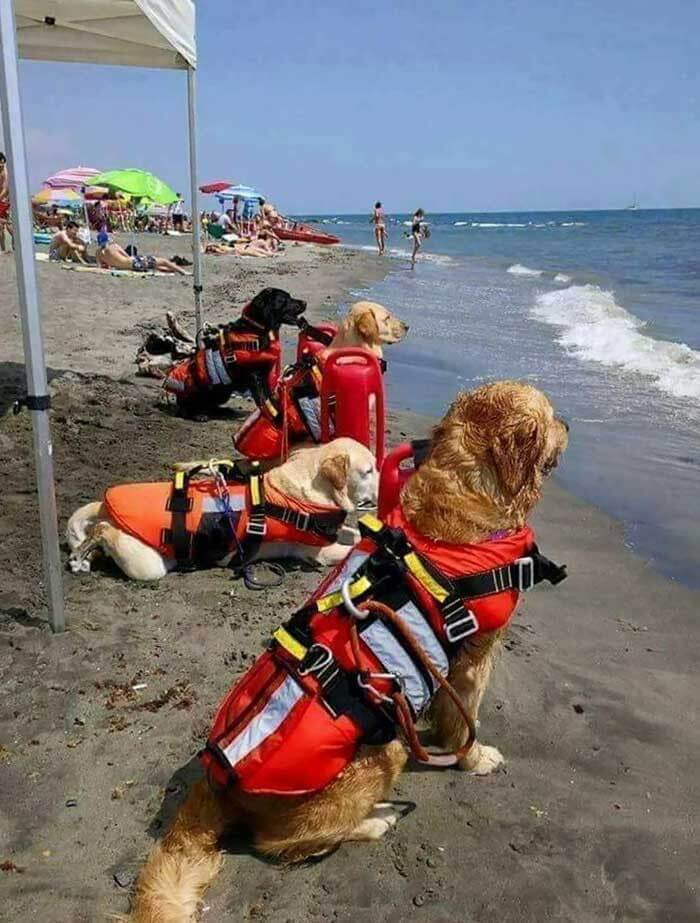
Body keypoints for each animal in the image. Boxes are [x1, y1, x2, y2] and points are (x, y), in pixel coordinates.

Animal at [67, 438, 378, 580]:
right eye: (368, 471)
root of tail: (104, 506)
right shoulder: (319, 552)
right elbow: (354, 544)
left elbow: (353, 532)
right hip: (148, 565)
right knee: (102, 530)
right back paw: (85, 549)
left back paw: (84, 556)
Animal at [119, 378, 568, 920]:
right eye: (552, 415)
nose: (570, 424)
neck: (464, 491)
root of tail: (216, 780)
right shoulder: (477, 655)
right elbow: (467, 721)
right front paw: (475, 759)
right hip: (385, 750)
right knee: (282, 842)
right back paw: (375, 819)